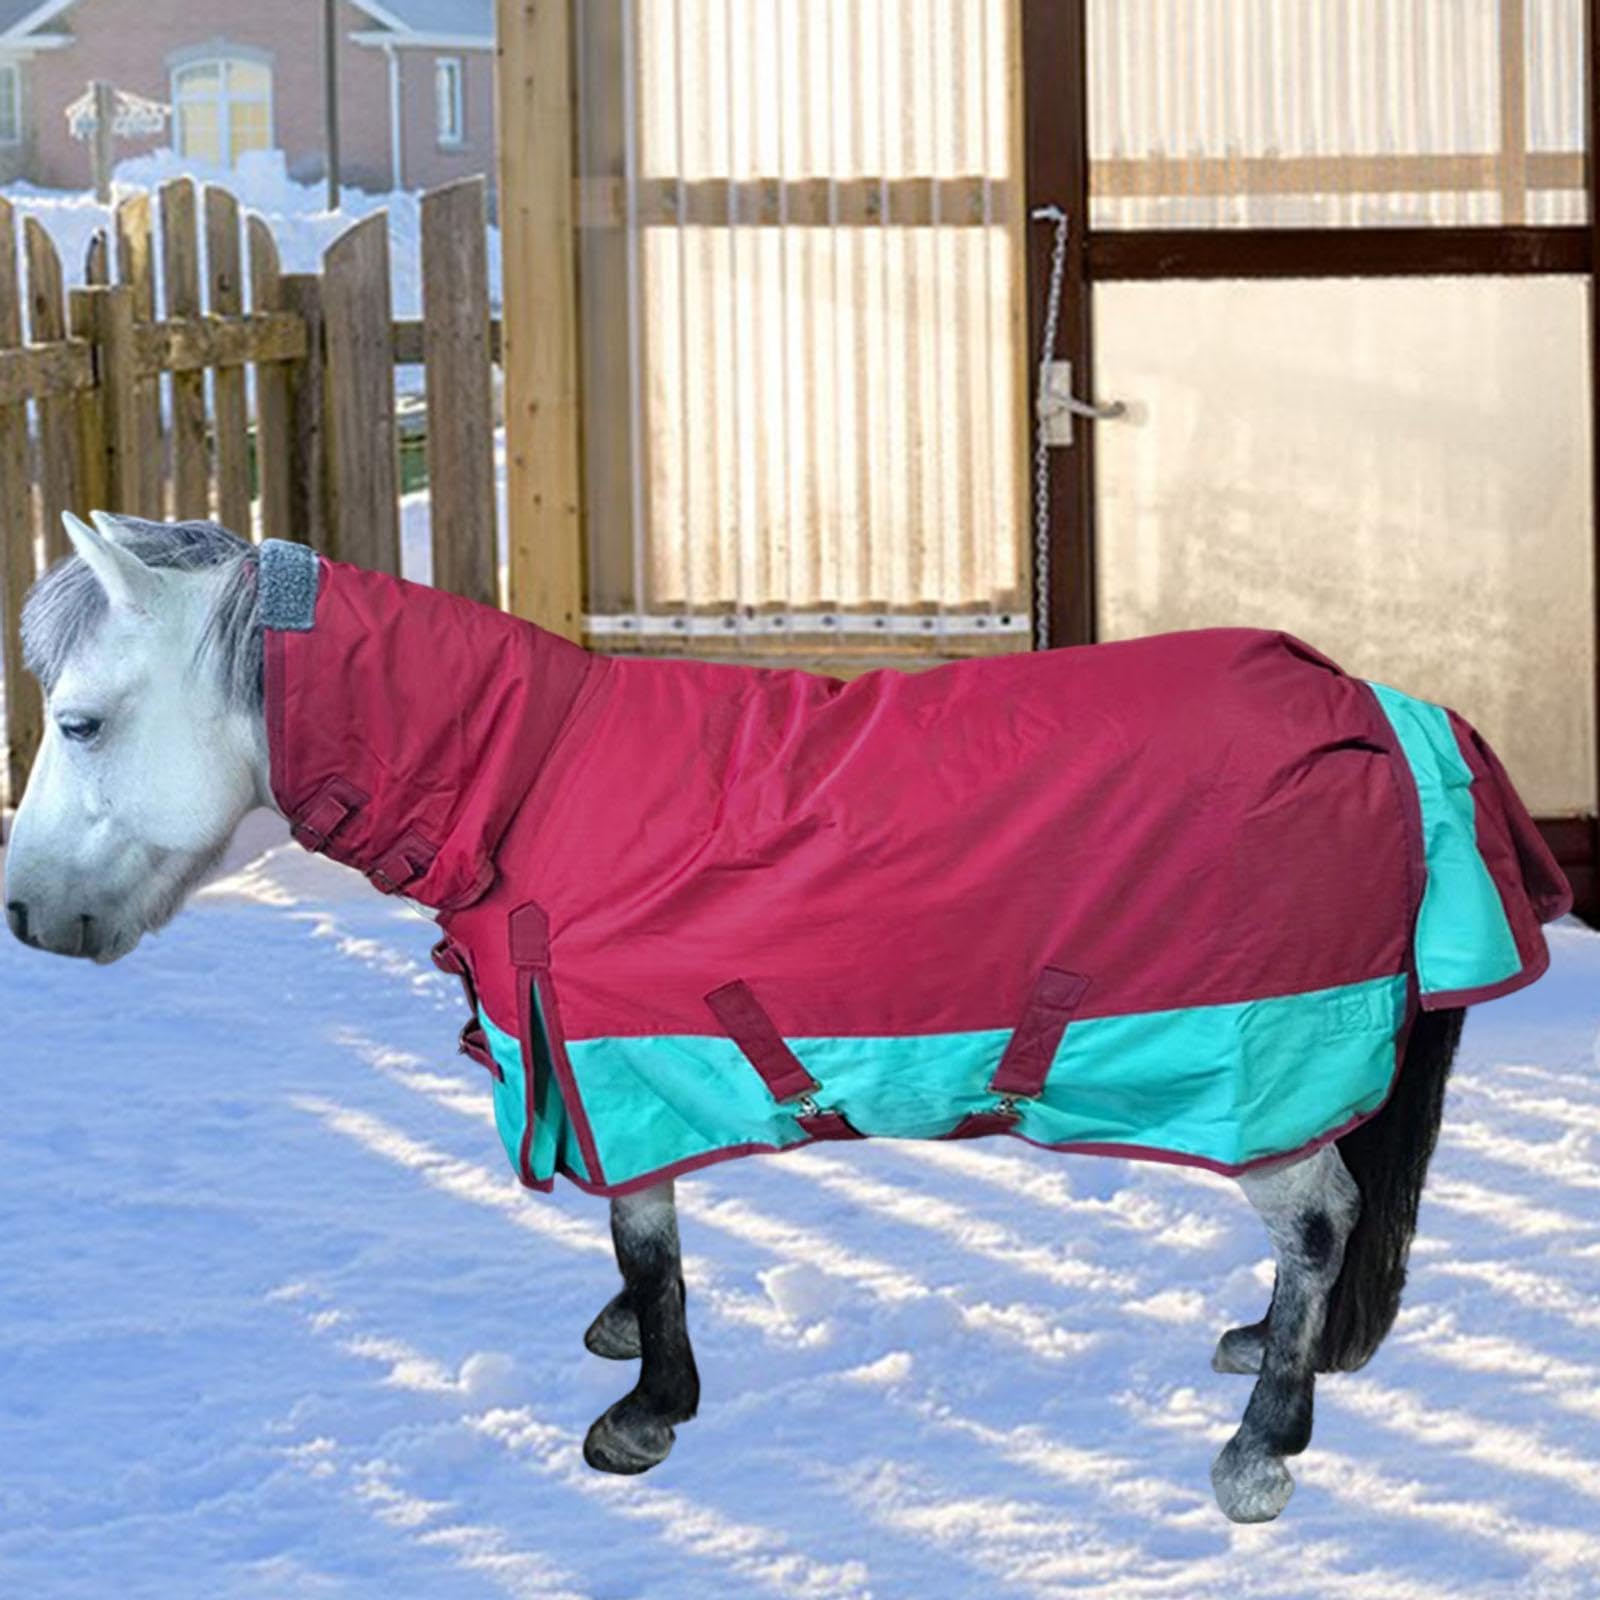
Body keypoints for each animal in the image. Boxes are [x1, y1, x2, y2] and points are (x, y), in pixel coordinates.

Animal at [3, 512, 1567, 1523]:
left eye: (78, 723)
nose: (23, 914)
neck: (528, 780)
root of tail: (1384, 707)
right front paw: (625, 1353)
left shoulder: (620, 1066)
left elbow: (648, 1246)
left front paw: (647, 1410)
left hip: (1250, 1074)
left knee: (1320, 1222)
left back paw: (1263, 1442)